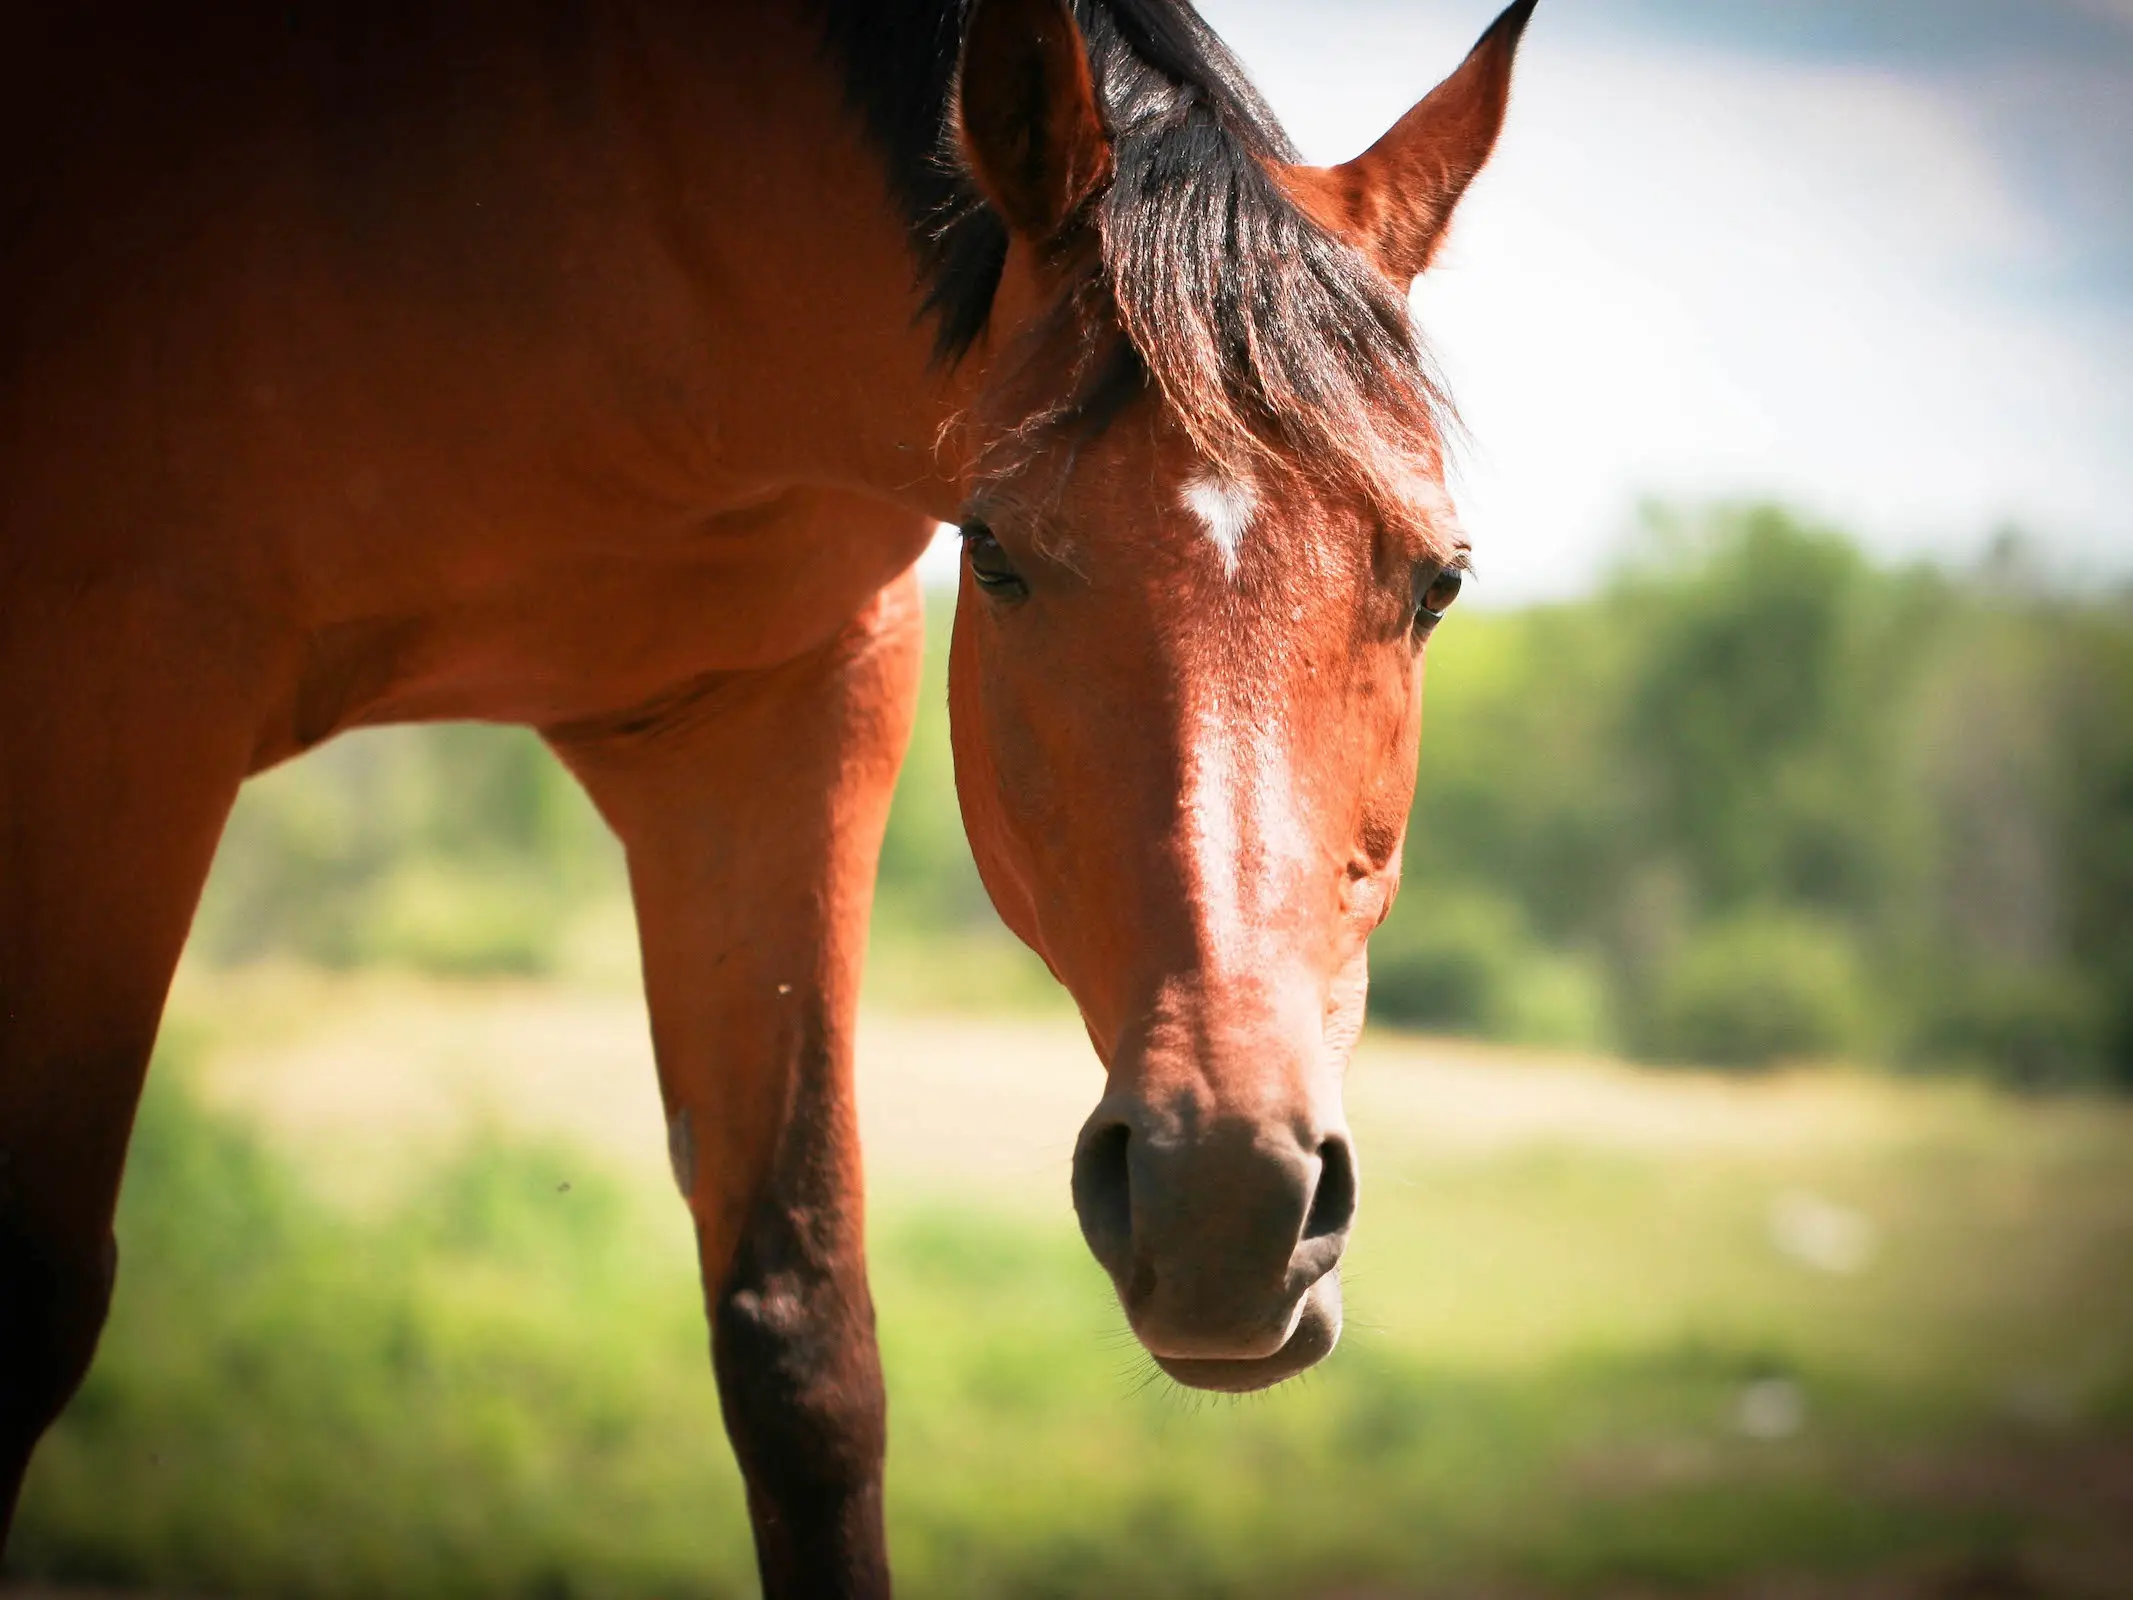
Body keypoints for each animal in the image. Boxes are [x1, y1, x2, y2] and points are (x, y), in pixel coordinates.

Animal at [0, 0, 1535, 1595]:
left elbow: (804, 1353)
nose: (1229, 1198)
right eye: (994, 552)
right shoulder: (117, 679)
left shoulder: (780, 714)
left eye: (1438, 581)